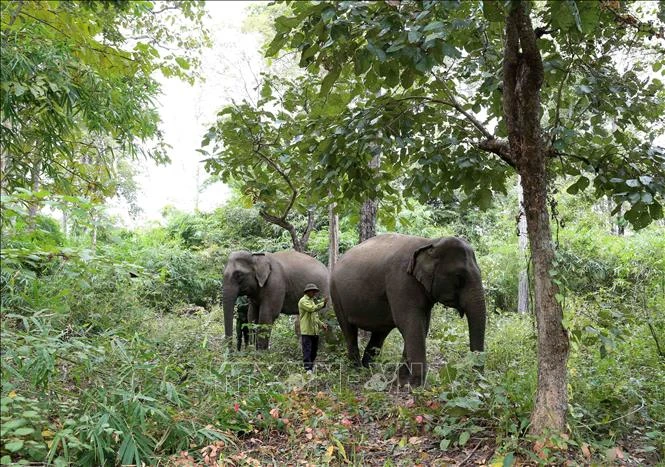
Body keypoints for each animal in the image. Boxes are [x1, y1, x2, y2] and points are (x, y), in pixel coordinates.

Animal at [330, 232, 486, 386]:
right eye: (459, 278)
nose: (476, 379)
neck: (431, 242)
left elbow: (422, 325)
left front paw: (402, 381)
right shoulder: (401, 281)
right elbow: (410, 323)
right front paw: (416, 385)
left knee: (379, 334)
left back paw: (368, 368)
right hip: (335, 294)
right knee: (348, 329)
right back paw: (356, 369)